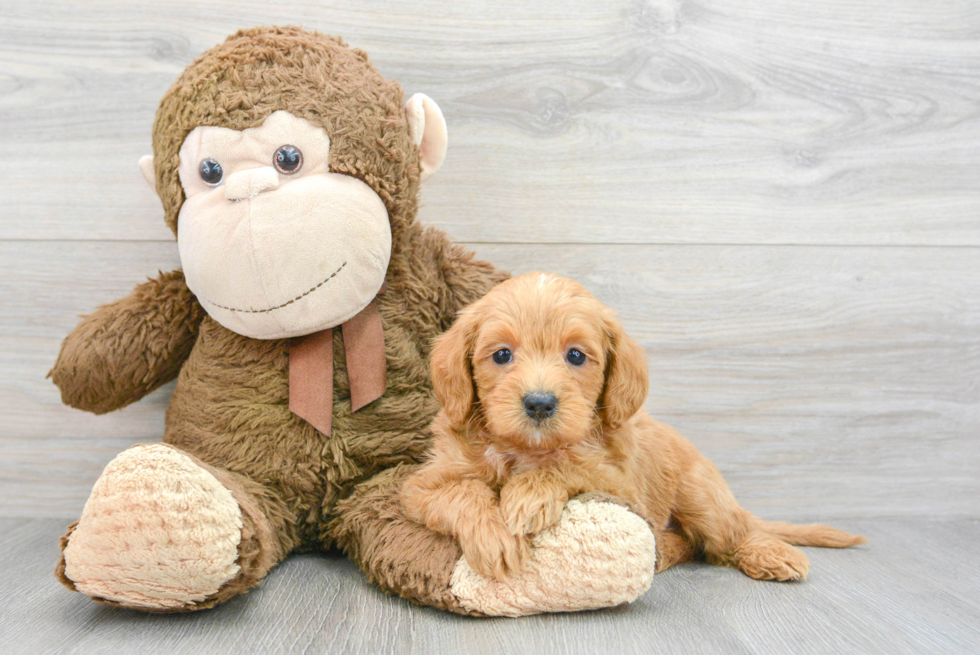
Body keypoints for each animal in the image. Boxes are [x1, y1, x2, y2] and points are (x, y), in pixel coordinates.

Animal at [398, 274, 864, 580]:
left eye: (576, 356)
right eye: (501, 355)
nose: (539, 402)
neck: (526, 448)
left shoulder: (620, 485)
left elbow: (567, 465)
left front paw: (527, 497)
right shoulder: (422, 486)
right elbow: (464, 491)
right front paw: (494, 537)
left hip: (700, 495)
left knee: (727, 538)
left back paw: (770, 553)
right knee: (692, 544)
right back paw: (664, 552)